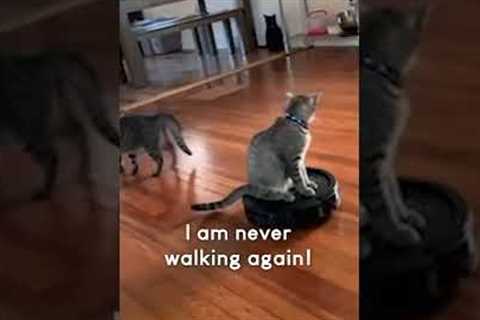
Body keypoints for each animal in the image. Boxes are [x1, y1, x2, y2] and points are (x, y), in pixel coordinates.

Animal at [192, 92, 322, 212]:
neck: (295, 121)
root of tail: (250, 185)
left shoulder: (301, 159)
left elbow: (304, 173)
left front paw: (309, 183)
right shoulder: (292, 160)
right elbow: (299, 178)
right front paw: (305, 190)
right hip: (270, 187)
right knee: (267, 195)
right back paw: (286, 195)